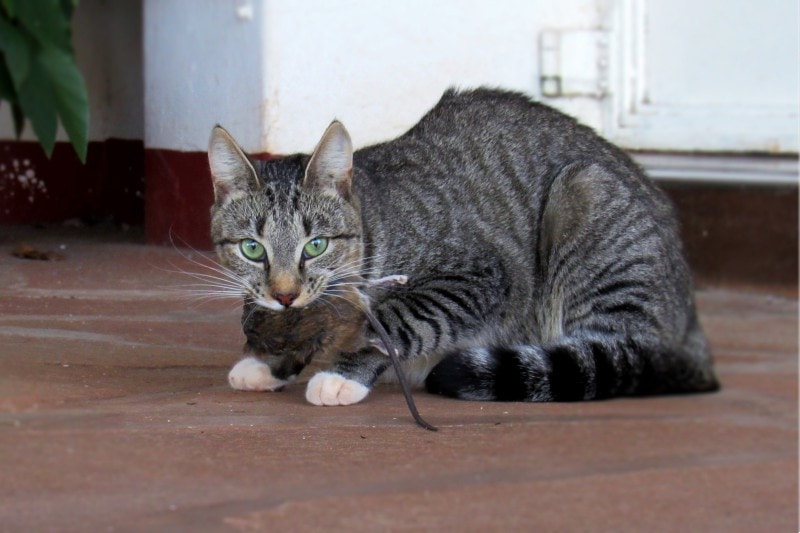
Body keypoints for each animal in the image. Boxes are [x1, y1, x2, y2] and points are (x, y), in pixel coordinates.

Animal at [206, 87, 720, 406]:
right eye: (252, 249)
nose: (285, 293)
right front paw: (270, 363)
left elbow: (396, 319)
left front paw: (341, 373)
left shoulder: (479, 274)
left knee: (620, 352)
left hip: (586, 196)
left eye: (315, 245)